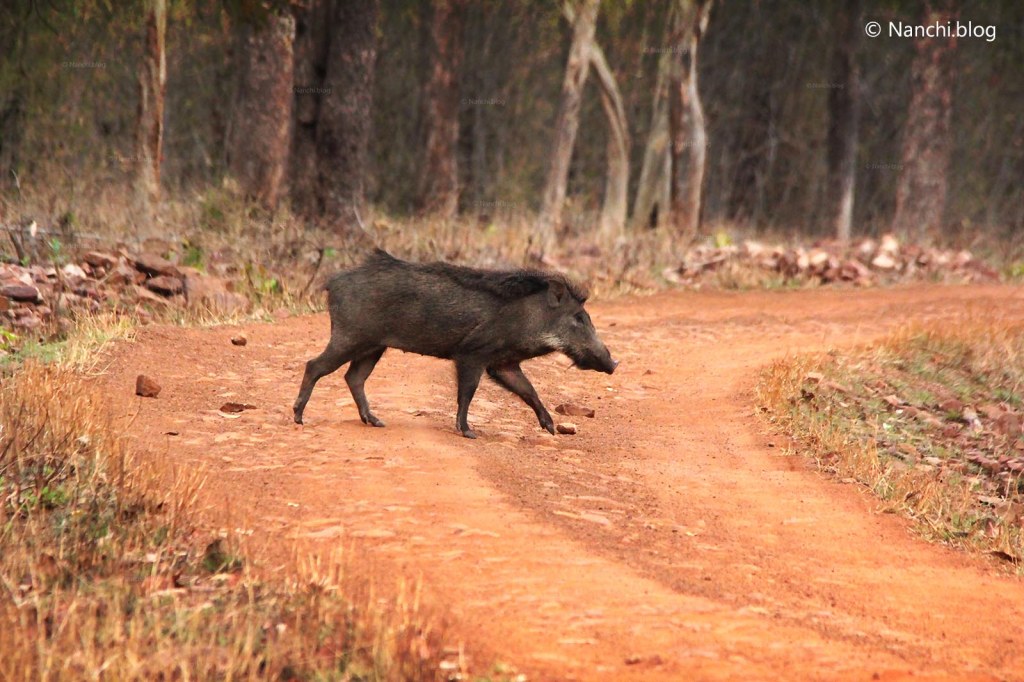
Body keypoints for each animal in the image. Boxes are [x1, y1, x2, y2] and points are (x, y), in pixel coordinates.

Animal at [292, 249, 617, 438]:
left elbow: (529, 391)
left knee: (353, 377)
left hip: (372, 347)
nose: (614, 362)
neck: (528, 318)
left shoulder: (503, 363)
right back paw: (298, 418)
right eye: (578, 318)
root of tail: (332, 283)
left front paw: (551, 430)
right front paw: (468, 432)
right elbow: (468, 393)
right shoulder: (472, 354)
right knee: (314, 366)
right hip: (350, 337)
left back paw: (376, 422)